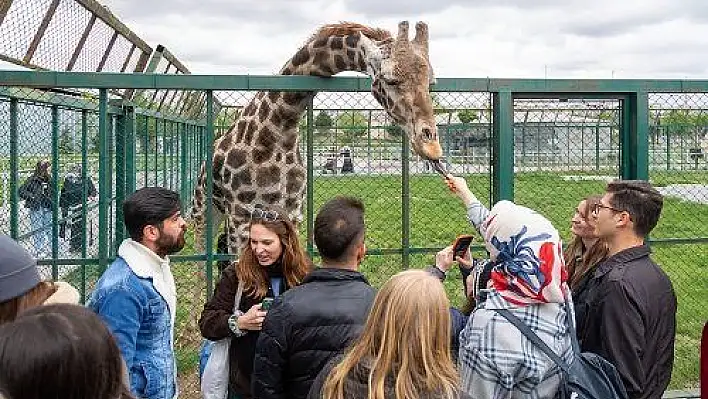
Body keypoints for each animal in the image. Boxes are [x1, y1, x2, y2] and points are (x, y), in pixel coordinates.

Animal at [188, 21, 442, 256]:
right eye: (390, 79)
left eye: (431, 83)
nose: (431, 146)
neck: (280, 128)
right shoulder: (241, 216)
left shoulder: (292, 214)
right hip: (203, 212)